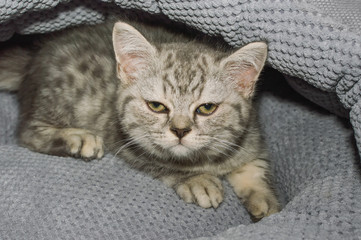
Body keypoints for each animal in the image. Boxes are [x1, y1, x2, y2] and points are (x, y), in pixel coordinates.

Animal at [0, 20, 278, 219]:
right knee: (27, 132)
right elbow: (163, 164)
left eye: (207, 108)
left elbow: (254, 167)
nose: (180, 131)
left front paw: (265, 200)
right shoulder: (125, 140)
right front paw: (196, 180)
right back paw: (76, 137)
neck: (206, 159)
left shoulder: (251, 137)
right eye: (156, 106)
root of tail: (33, 59)